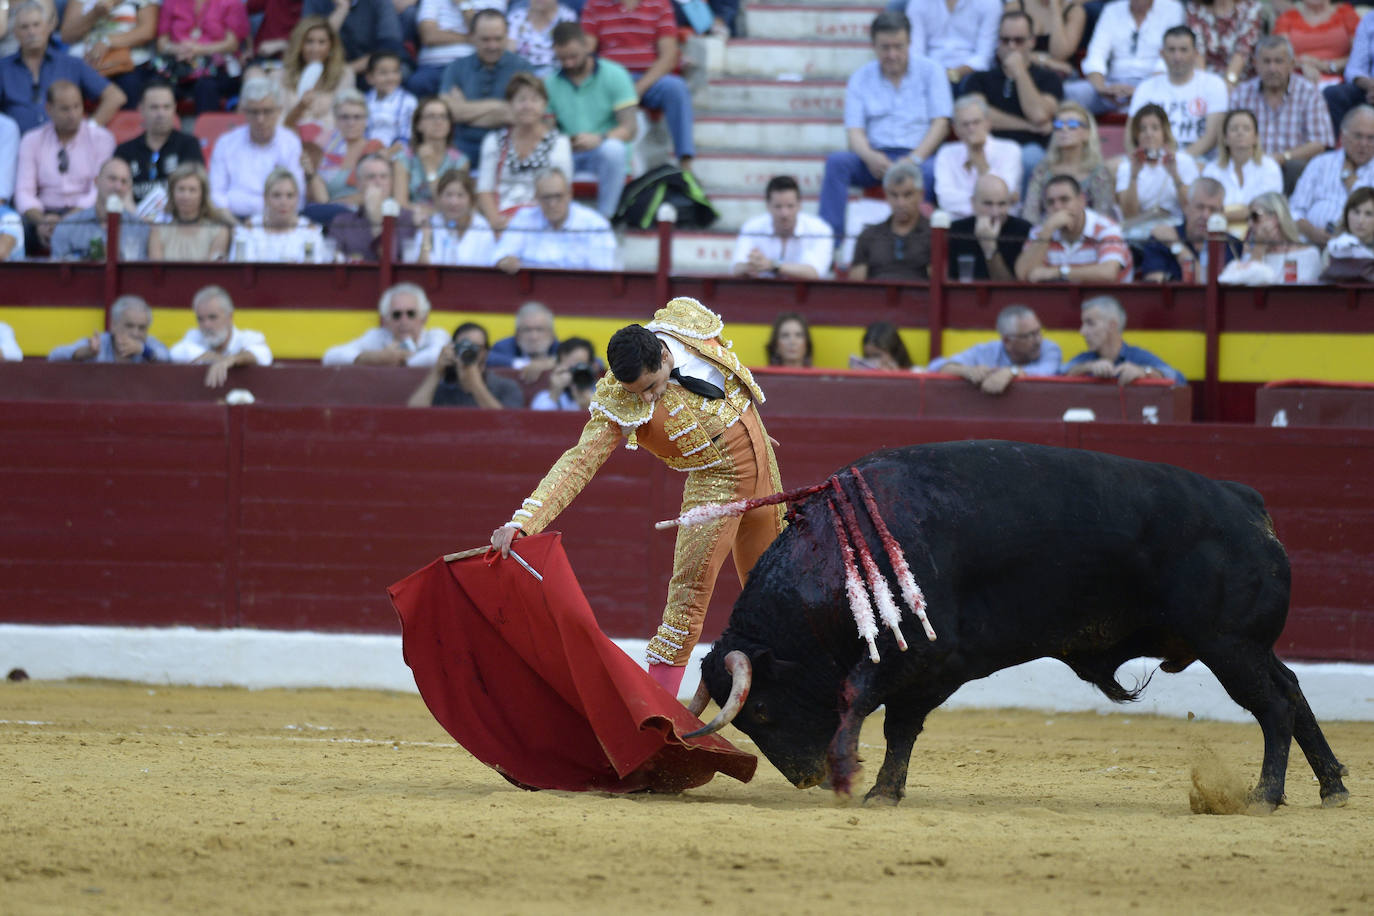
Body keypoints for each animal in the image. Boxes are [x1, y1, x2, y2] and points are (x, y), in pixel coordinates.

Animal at [703, 444, 1346, 807]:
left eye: (763, 712)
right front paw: (885, 790)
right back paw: (1333, 787)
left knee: (1274, 707)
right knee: (1293, 691)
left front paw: (853, 775)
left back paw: (1266, 796)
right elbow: (900, 726)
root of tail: (1248, 505)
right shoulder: (928, 671)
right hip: (1249, 647)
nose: (806, 778)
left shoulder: (925, 658)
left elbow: (862, 699)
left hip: (1230, 646)